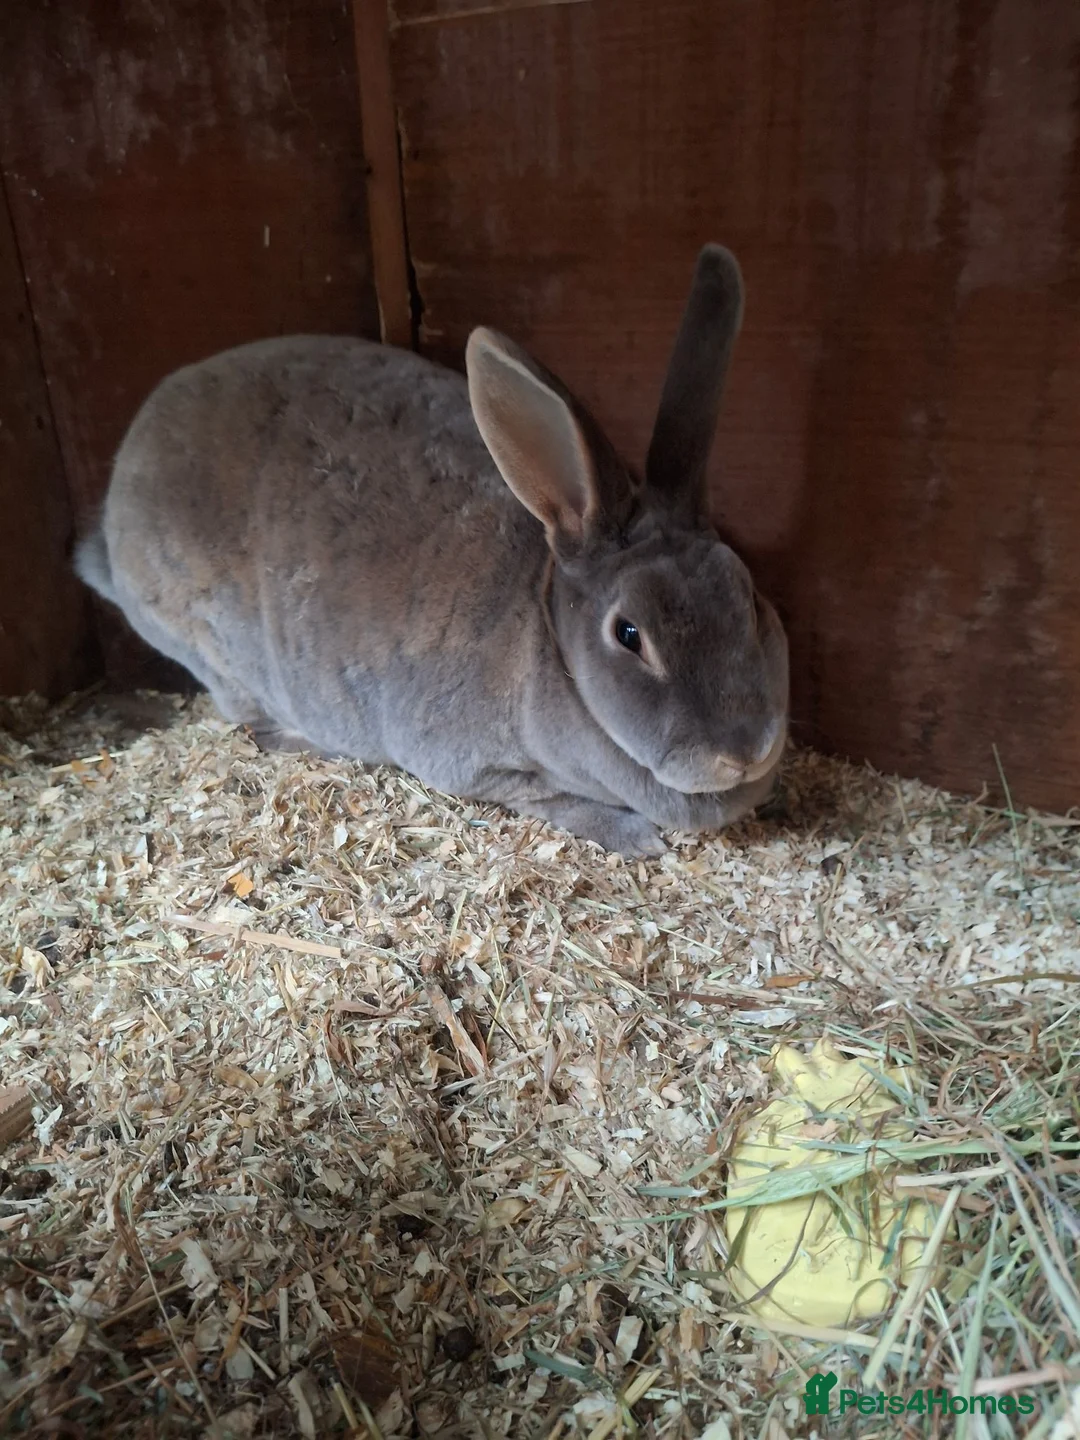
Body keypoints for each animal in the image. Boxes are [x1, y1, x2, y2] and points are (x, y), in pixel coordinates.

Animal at [75, 244, 788, 857]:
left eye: (749, 600)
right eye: (629, 634)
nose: (745, 751)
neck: (549, 639)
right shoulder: (479, 768)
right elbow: (554, 801)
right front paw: (635, 837)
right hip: (209, 647)